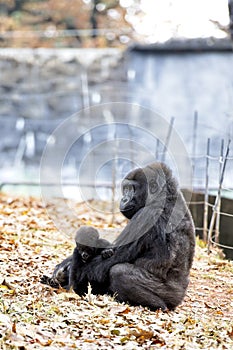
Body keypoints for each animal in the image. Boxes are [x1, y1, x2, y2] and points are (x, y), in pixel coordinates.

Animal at [43, 163, 195, 310]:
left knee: (119, 271)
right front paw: (63, 266)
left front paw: (69, 277)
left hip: (170, 295)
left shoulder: (146, 215)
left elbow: (105, 264)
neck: (165, 195)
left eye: (131, 188)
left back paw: (157, 305)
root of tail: (180, 295)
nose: (124, 198)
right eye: (125, 188)